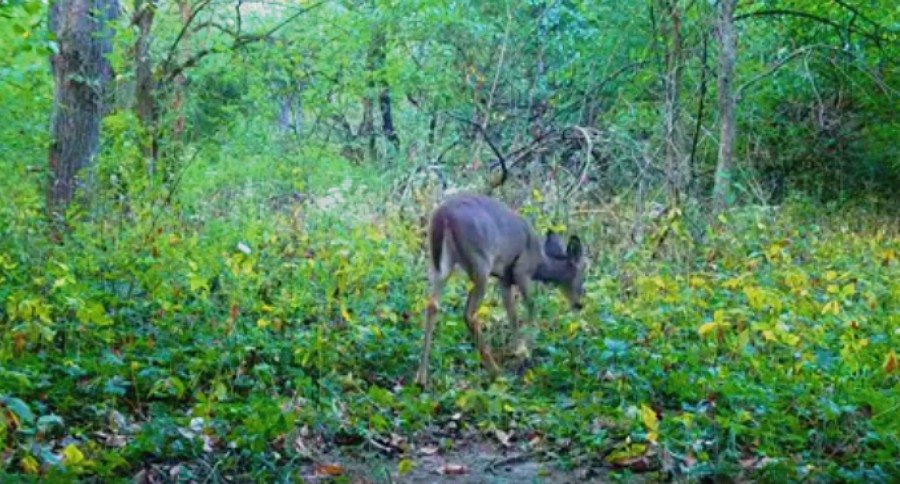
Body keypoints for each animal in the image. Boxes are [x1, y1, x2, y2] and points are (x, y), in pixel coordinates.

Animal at [415, 194, 587, 386]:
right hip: (480, 263)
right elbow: (531, 307)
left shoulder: (504, 279)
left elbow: (512, 315)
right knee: (468, 313)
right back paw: (496, 372)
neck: (539, 263)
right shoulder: (521, 271)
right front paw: (524, 353)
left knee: (432, 305)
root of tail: (443, 216)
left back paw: (421, 378)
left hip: (441, 264)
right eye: (583, 270)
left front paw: (518, 351)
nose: (579, 304)